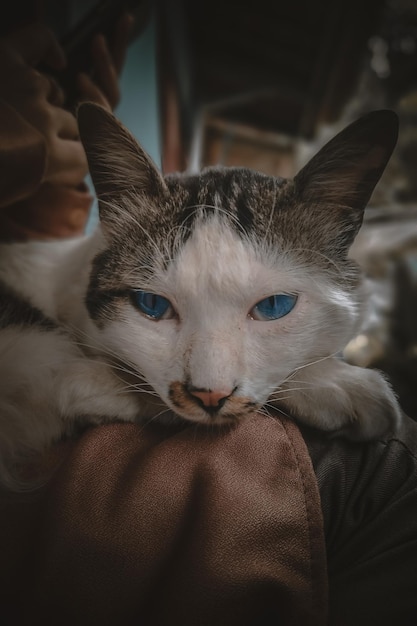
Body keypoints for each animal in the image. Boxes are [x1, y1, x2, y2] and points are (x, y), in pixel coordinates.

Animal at [0, 102, 402, 488]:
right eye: (152, 305)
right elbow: (89, 385)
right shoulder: (38, 364)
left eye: (274, 306)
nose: (210, 394)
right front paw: (340, 384)